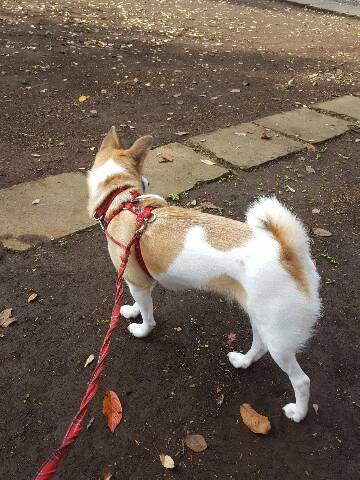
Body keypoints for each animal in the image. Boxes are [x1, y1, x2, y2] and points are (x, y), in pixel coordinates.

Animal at [86, 128, 320, 424]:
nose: (148, 183)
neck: (121, 199)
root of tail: (288, 253)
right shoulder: (139, 283)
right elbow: (140, 303)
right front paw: (131, 310)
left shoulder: (137, 282)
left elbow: (148, 315)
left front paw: (142, 329)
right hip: (261, 320)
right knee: (259, 346)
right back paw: (243, 361)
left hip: (279, 336)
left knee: (302, 380)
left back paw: (298, 412)